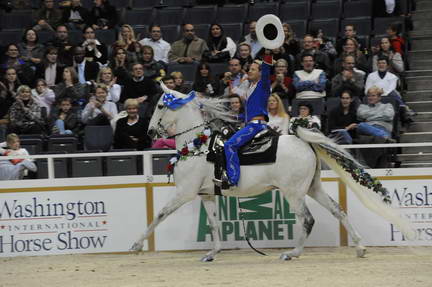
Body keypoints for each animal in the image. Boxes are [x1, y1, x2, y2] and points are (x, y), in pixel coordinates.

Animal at [132, 84, 416, 262]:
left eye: (160, 106)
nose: (150, 132)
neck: (197, 146)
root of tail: (304, 141)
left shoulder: (185, 192)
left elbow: (160, 214)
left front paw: (136, 245)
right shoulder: (207, 195)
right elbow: (213, 225)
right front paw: (212, 254)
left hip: (293, 192)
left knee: (307, 219)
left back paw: (293, 253)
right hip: (312, 188)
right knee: (338, 211)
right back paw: (360, 247)